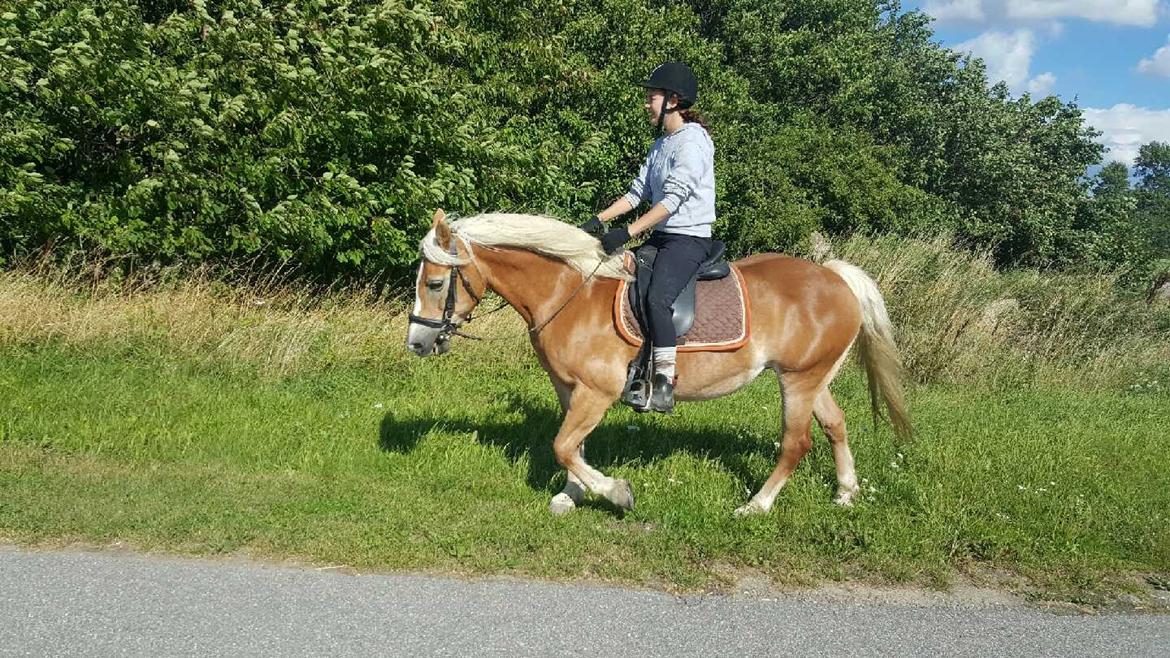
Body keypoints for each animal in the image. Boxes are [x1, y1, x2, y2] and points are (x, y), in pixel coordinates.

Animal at [407, 208, 907, 512]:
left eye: (434, 283)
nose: (416, 343)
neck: (571, 294)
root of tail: (836, 278)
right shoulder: (570, 389)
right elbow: (573, 446)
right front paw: (571, 495)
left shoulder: (597, 391)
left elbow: (563, 445)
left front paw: (616, 492)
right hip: (811, 378)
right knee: (835, 424)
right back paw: (846, 493)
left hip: (799, 381)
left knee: (795, 443)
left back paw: (756, 506)